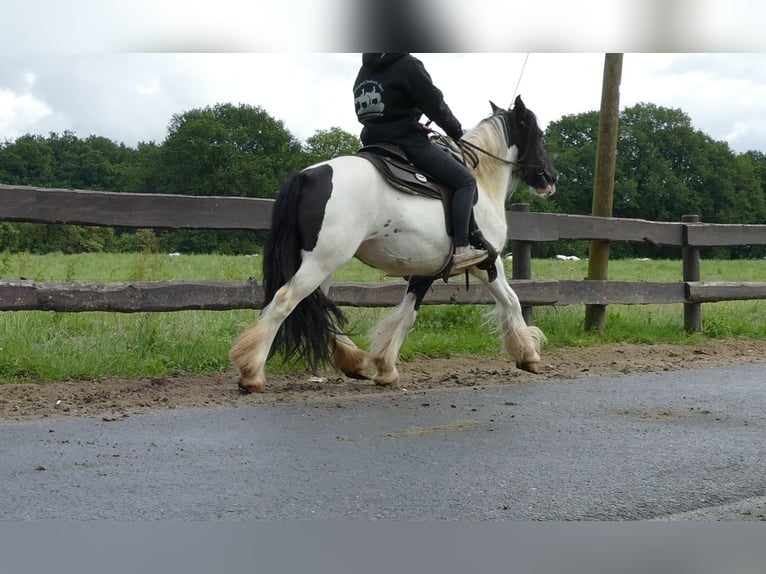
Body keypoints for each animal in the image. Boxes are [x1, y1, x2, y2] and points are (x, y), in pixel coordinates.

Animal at [231, 97, 560, 394]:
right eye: (539, 134)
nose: (551, 177)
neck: (480, 181)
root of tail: (309, 175)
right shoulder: (487, 262)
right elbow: (512, 301)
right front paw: (528, 355)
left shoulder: (427, 271)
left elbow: (406, 314)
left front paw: (385, 368)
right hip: (321, 262)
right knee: (285, 301)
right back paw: (252, 373)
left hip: (322, 264)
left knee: (317, 306)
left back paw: (354, 361)